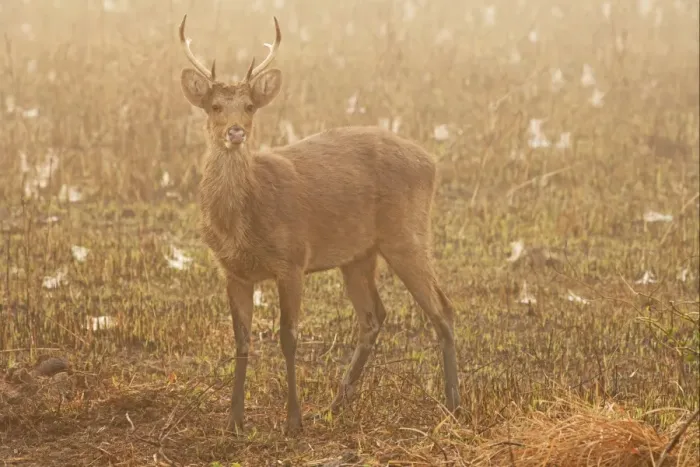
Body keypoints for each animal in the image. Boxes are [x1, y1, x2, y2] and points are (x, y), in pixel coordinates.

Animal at [177, 14, 461, 435]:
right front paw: (235, 420)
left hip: (407, 233)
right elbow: (241, 340)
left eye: (249, 106)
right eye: (213, 106)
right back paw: (335, 404)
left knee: (442, 308)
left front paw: (292, 421)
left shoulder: (293, 259)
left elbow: (288, 337)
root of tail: (432, 162)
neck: (244, 221)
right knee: (374, 316)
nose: (235, 131)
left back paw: (454, 404)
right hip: (358, 254)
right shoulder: (233, 271)